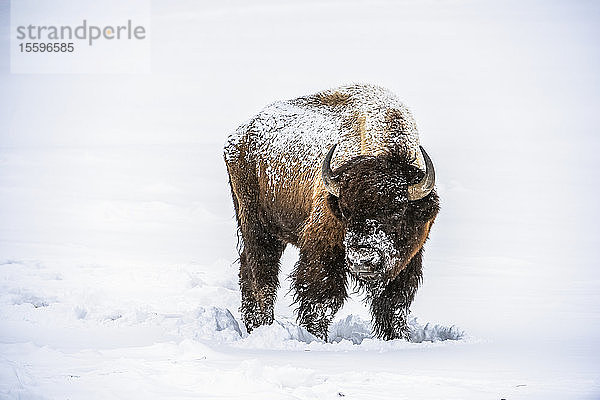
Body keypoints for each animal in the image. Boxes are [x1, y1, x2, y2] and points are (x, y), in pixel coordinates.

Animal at [223, 84, 438, 340]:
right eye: (345, 212)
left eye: (397, 211)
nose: (362, 259)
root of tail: (238, 137)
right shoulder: (322, 247)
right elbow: (321, 299)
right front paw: (317, 337)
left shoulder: (410, 258)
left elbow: (394, 303)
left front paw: (396, 338)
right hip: (255, 224)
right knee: (262, 276)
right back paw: (263, 326)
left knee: (248, 268)